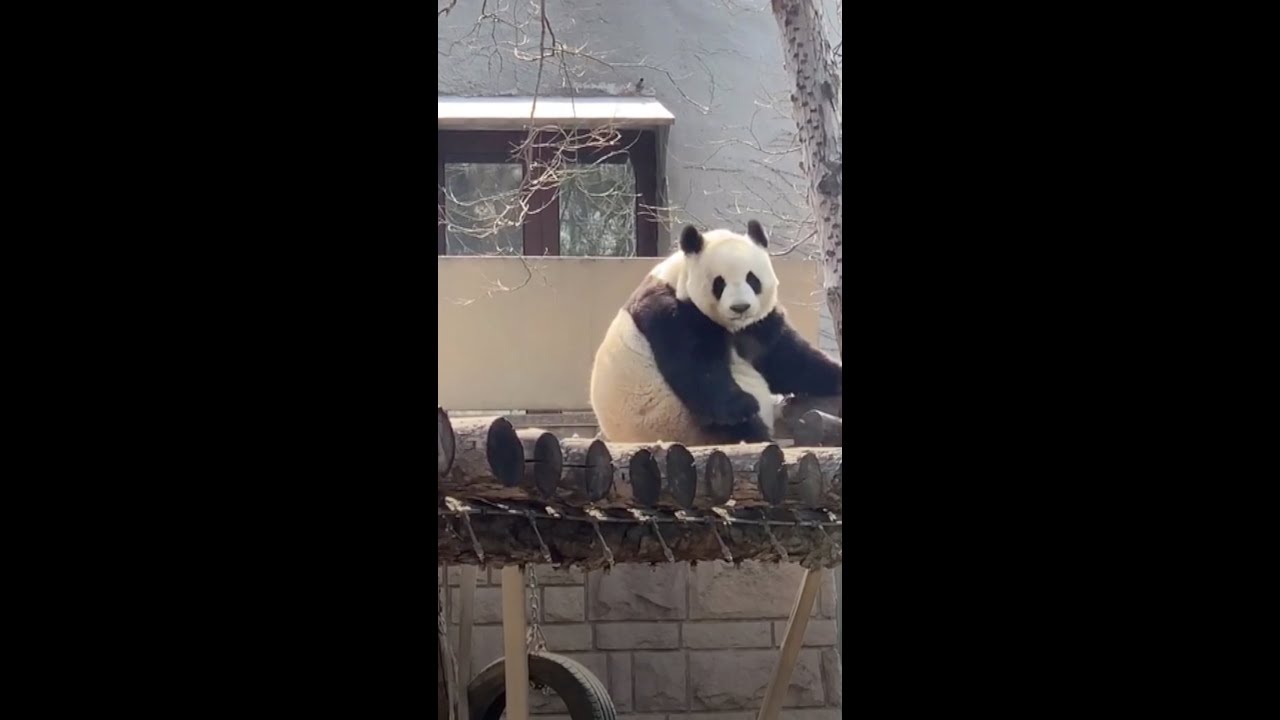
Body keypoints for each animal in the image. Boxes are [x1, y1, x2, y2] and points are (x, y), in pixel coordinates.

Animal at [586, 219, 839, 443]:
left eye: (752, 279)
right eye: (720, 283)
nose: (740, 307)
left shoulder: (758, 325)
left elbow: (786, 359)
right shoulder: (673, 314)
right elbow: (697, 365)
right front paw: (743, 406)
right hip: (676, 418)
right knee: (728, 424)